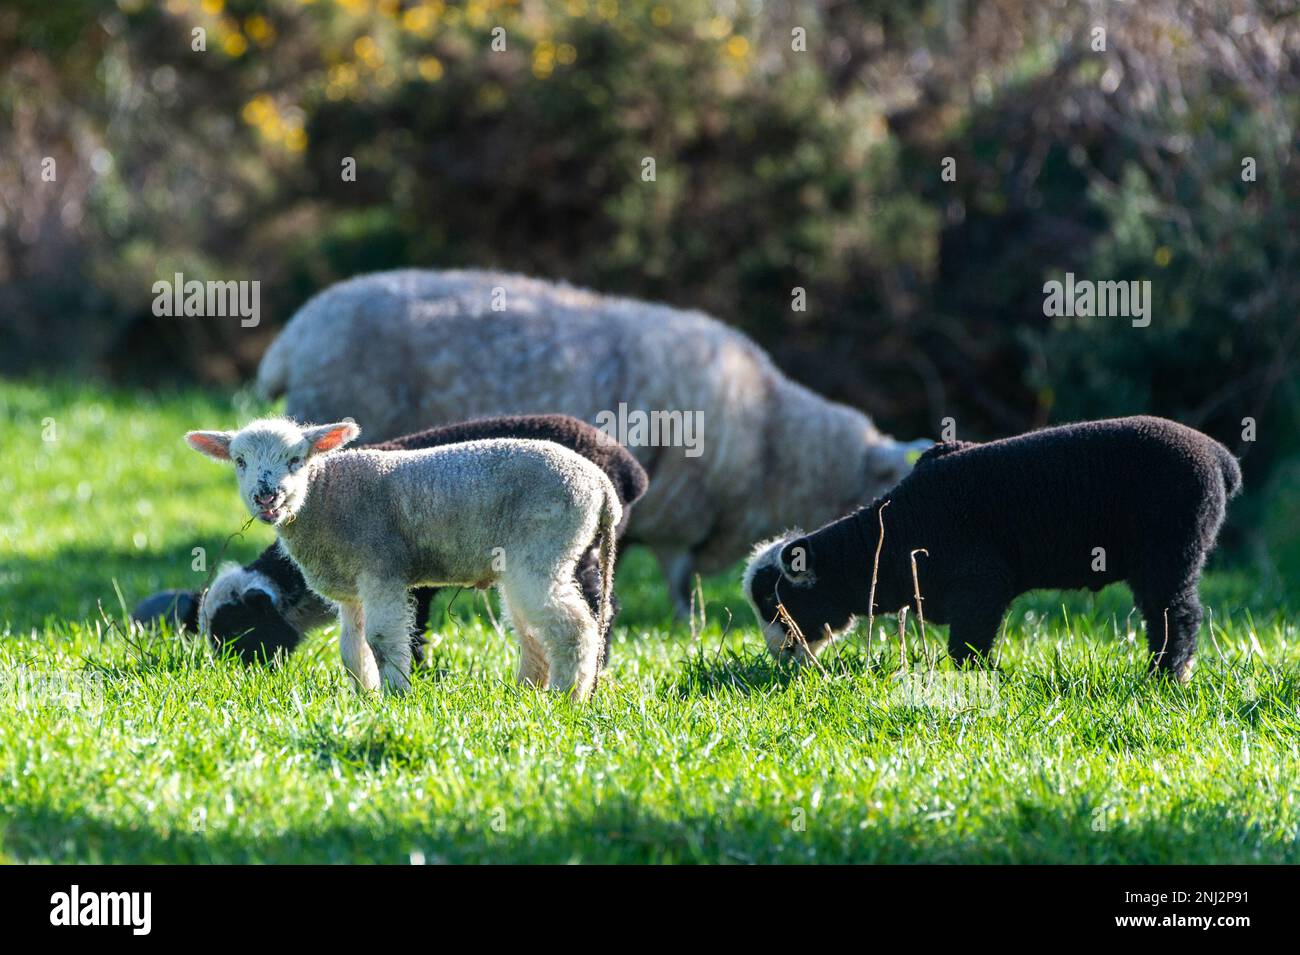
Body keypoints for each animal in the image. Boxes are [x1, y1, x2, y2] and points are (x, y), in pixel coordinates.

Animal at [131, 415, 650, 670]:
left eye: (298, 459)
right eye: (238, 461)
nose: (266, 496)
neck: (326, 494)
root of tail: (605, 485)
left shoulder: (386, 573)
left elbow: (384, 640)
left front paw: (399, 694)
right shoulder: (353, 589)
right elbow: (351, 647)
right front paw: (366, 695)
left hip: (547, 553)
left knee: (576, 627)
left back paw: (570, 698)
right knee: (537, 632)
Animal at [743, 415, 1237, 680]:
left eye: (774, 603)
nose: (779, 658)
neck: (891, 537)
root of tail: (1220, 459)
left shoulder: (982, 585)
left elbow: (967, 648)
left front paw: (983, 682)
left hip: (1171, 549)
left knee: (1177, 614)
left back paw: (1166, 677)